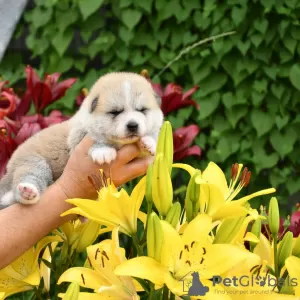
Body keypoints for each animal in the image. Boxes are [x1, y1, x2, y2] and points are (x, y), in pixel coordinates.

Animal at [0, 72, 164, 207]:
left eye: (142, 110)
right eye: (115, 112)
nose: (133, 125)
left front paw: (149, 142)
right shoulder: (78, 138)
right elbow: (99, 141)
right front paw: (103, 151)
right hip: (34, 163)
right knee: (27, 179)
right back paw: (27, 192)